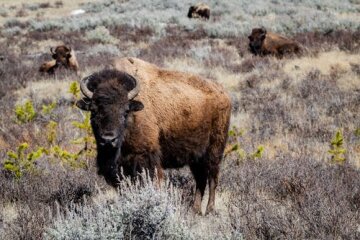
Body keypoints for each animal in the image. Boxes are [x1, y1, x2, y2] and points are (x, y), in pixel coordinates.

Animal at [77, 57, 232, 214]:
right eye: (94, 110)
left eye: (125, 111)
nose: (108, 139)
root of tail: (223, 93)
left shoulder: (145, 159)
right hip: (196, 157)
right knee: (200, 180)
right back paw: (195, 210)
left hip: (215, 150)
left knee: (212, 178)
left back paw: (210, 210)